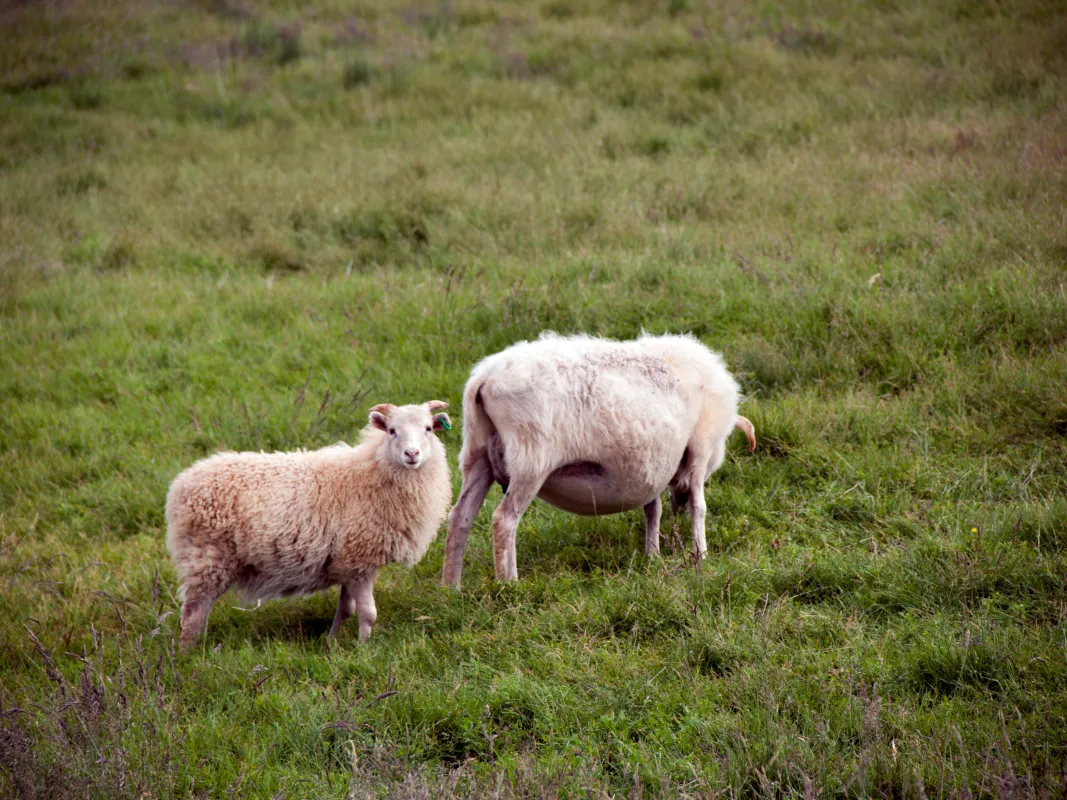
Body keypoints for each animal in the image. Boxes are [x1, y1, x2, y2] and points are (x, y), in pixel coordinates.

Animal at [166, 401, 452, 648]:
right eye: (392, 431)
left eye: (428, 429)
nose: (412, 454)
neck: (370, 473)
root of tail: (179, 486)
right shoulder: (361, 559)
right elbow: (368, 613)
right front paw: (363, 648)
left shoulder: (348, 561)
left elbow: (346, 609)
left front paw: (332, 642)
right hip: (206, 560)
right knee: (191, 614)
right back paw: (189, 654)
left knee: (198, 613)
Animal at [441, 333, 755, 587]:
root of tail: (484, 378)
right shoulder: (700, 449)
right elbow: (699, 507)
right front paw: (701, 556)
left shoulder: (650, 466)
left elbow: (652, 509)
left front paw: (652, 555)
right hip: (531, 460)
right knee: (504, 519)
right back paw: (509, 583)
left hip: (477, 454)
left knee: (460, 517)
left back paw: (451, 587)